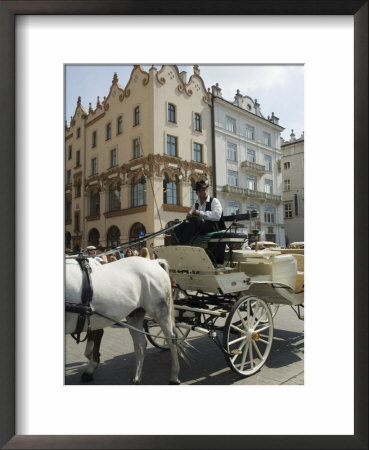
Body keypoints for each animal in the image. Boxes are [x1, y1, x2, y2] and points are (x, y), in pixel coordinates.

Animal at [67, 255, 182, 384]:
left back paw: (174, 376)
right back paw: (136, 377)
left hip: (161, 312)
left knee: (171, 339)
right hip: (134, 314)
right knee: (140, 344)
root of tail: (154, 262)